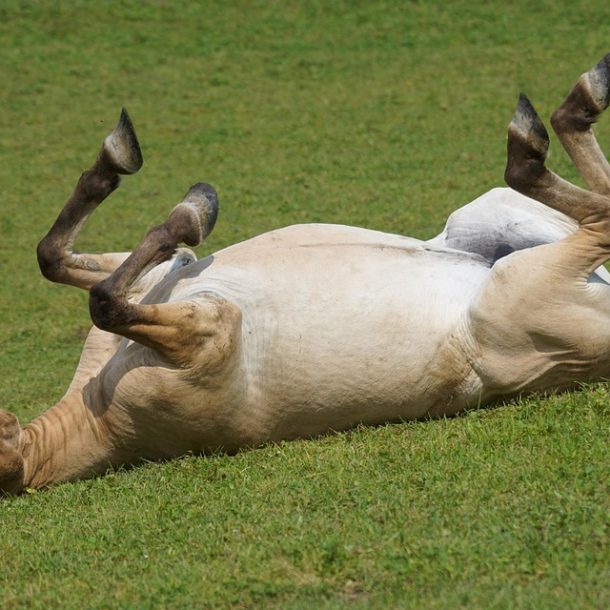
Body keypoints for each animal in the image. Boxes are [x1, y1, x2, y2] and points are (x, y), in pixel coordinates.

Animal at [0, 54, 604, 492]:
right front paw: (187, 209)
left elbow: (59, 260)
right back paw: (567, 111)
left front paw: (143, 179)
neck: (99, 416)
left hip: (492, 218)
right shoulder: (209, 327)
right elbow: (101, 294)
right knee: (591, 215)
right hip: (517, 285)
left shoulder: (164, 287)